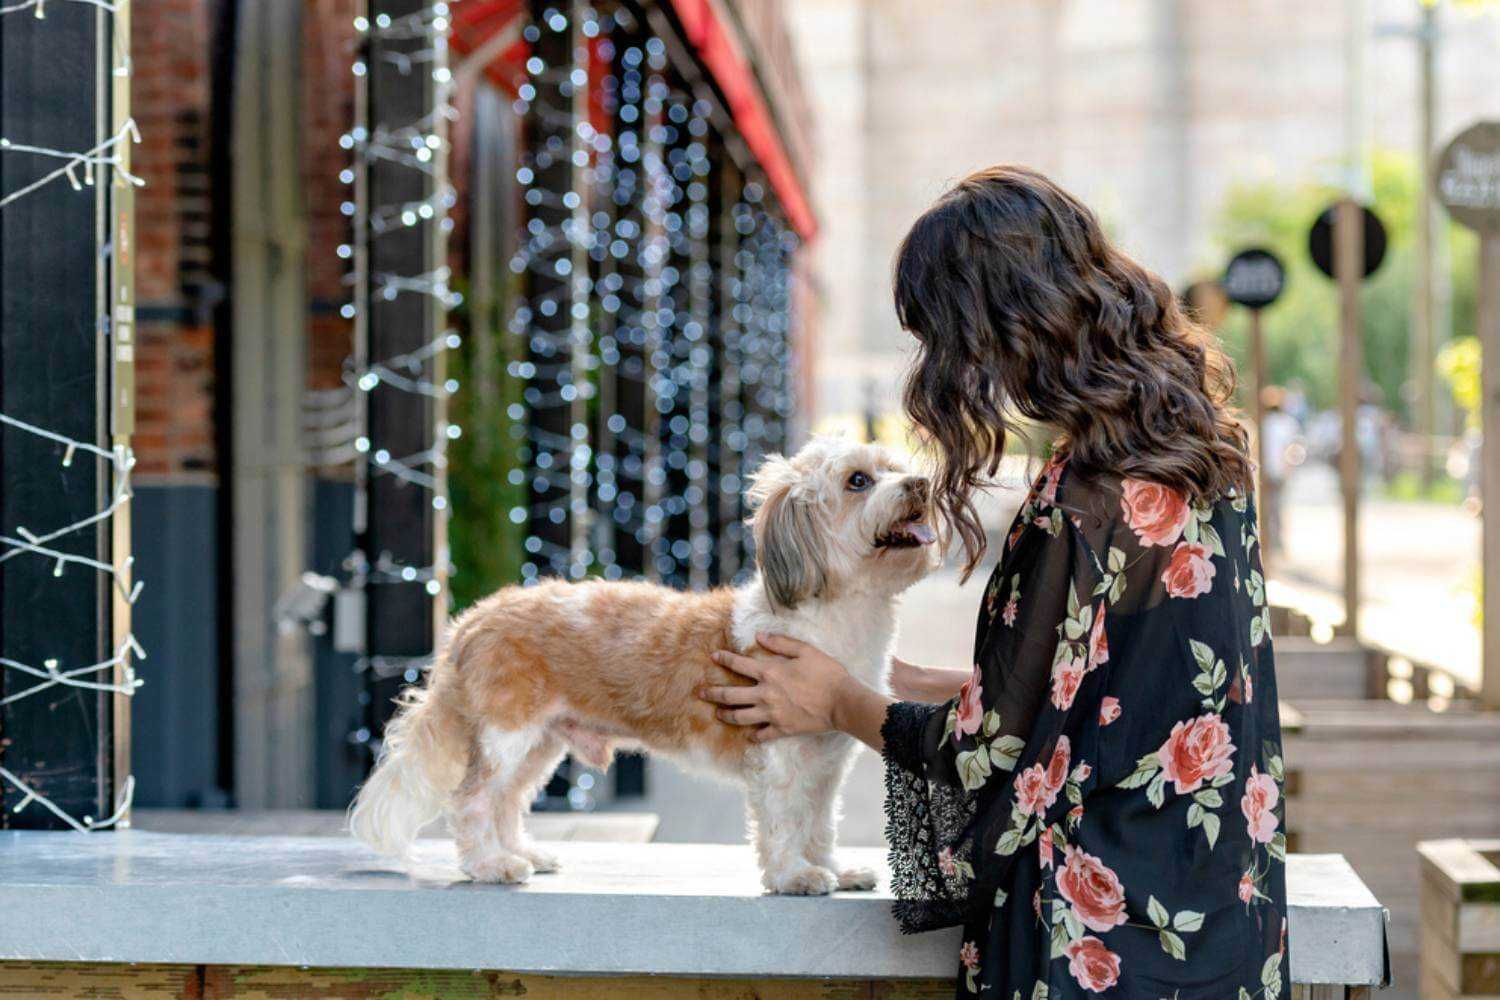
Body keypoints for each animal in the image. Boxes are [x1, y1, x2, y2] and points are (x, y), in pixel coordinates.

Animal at [351, 437, 936, 899]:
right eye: (858, 480)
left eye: (897, 465)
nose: (921, 484)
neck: (834, 619)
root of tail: (473, 620)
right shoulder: (778, 756)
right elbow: (785, 820)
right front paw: (795, 875)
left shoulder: (824, 762)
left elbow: (820, 823)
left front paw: (834, 868)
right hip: (508, 734)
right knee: (473, 800)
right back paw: (491, 865)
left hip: (539, 744)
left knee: (507, 800)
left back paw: (523, 854)